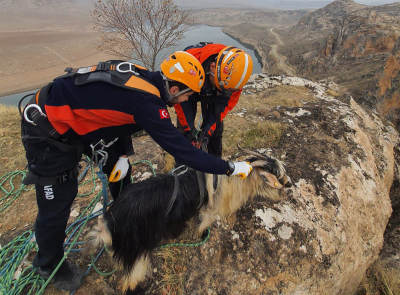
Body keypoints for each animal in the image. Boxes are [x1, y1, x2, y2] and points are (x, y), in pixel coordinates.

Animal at [85, 146, 290, 294]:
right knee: (130, 277)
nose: (288, 183)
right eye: (277, 174)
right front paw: (200, 236)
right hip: (134, 250)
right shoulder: (210, 212)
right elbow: (203, 225)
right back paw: (138, 288)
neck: (233, 181)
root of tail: (110, 220)